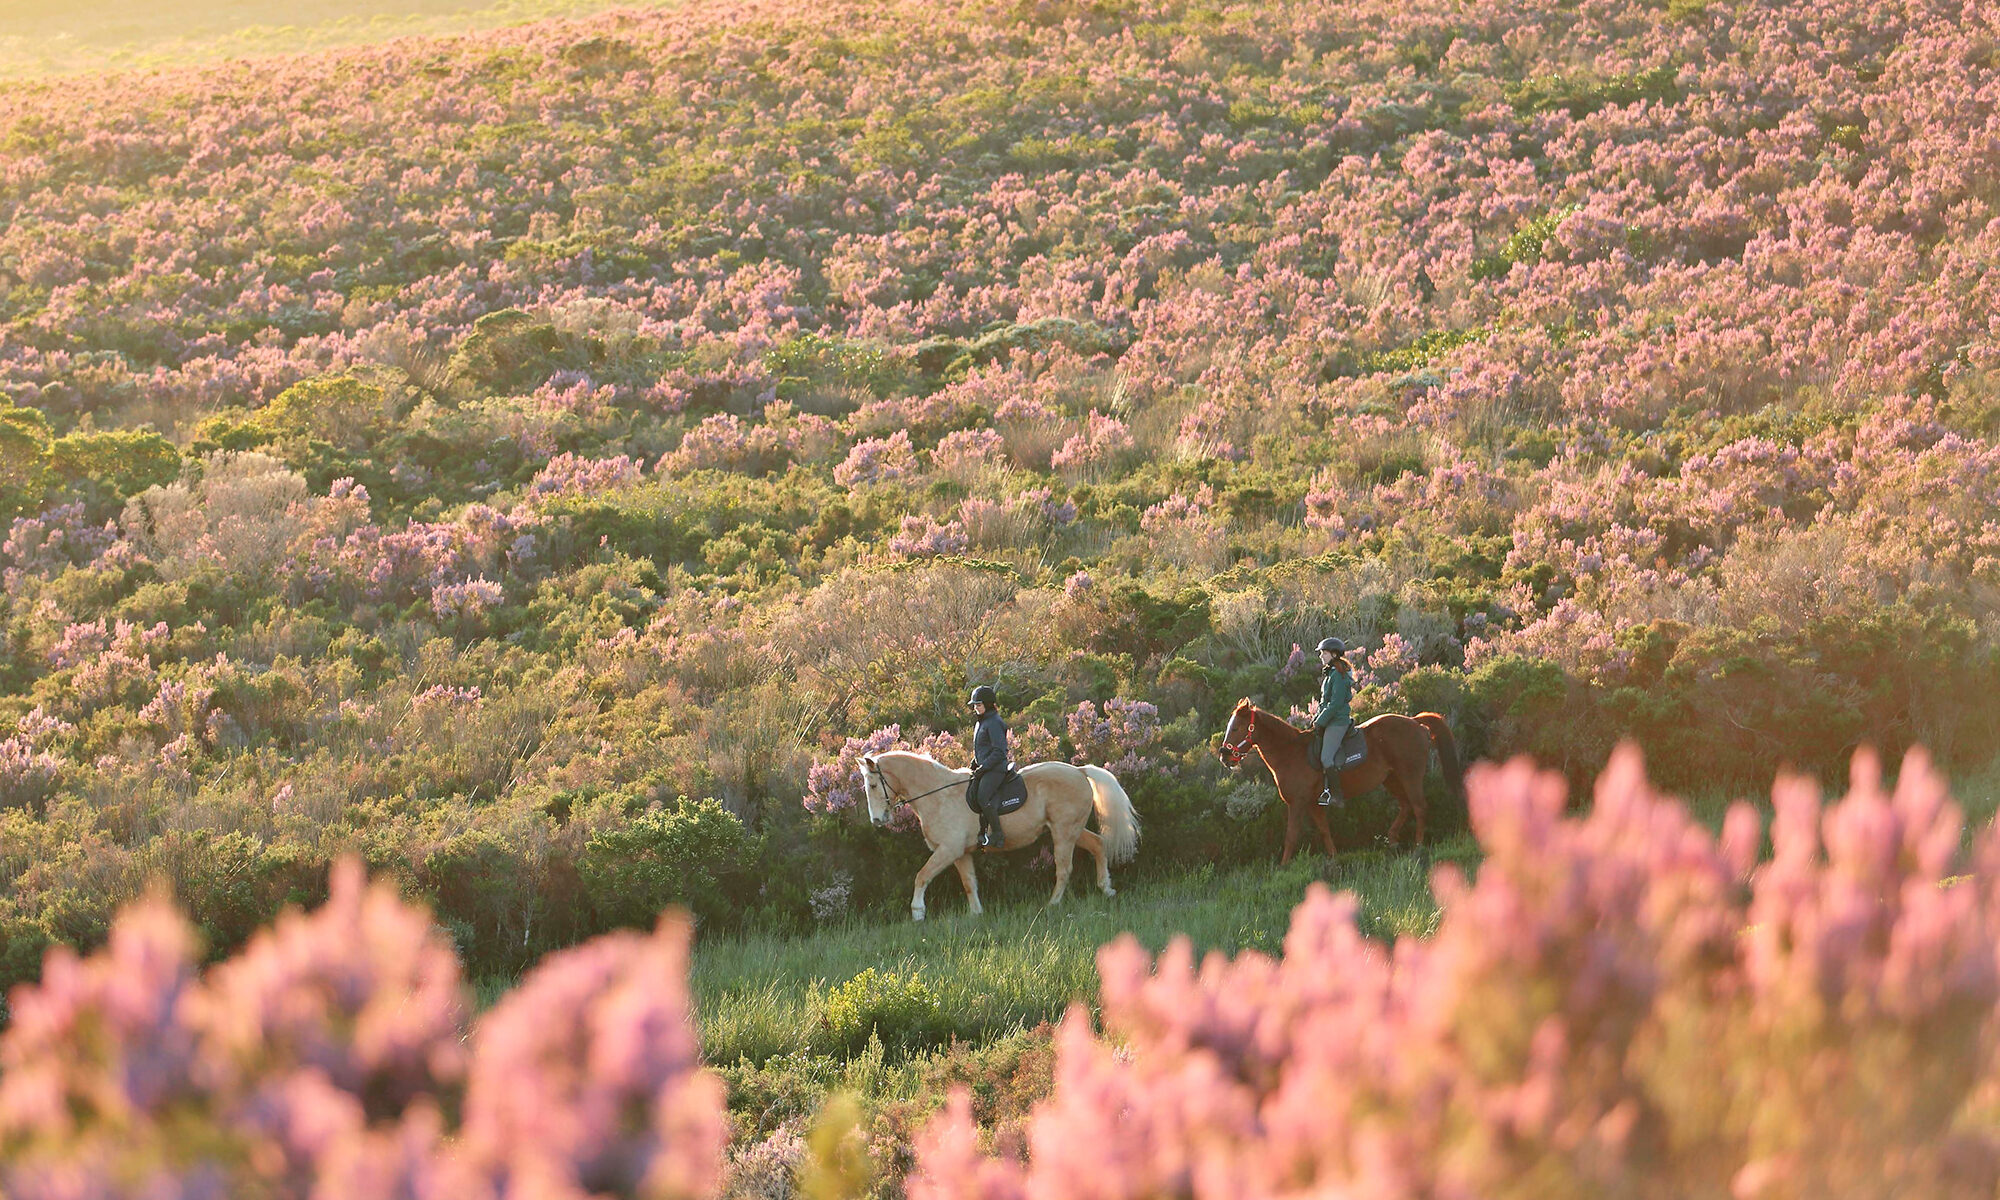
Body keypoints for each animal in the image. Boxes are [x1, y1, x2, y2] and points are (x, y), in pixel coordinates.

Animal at [860, 756, 1144, 924]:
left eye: (873, 785)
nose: (877, 820)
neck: (937, 795)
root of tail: (1079, 771)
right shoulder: (960, 853)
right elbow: (969, 884)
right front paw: (976, 914)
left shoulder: (948, 850)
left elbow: (921, 876)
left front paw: (918, 912)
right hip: (1071, 829)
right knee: (1098, 845)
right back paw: (1106, 888)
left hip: (1063, 832)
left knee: (1064, 869)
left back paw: (1052, 904)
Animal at [1208, 704, 1464, 864]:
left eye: (1237, 728)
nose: (1224, 756)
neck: (1290, 753)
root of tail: (1414, 722)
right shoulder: (1313, 803)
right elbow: (1324, 830)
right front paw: (1334, 859)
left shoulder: (1298, 803)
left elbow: (1291, 835)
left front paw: (1283, 866)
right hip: (1392, 779)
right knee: (1406, 806)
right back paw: (1392, 841)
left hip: (1410, 775)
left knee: (1419, 807)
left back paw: (1418, 848)